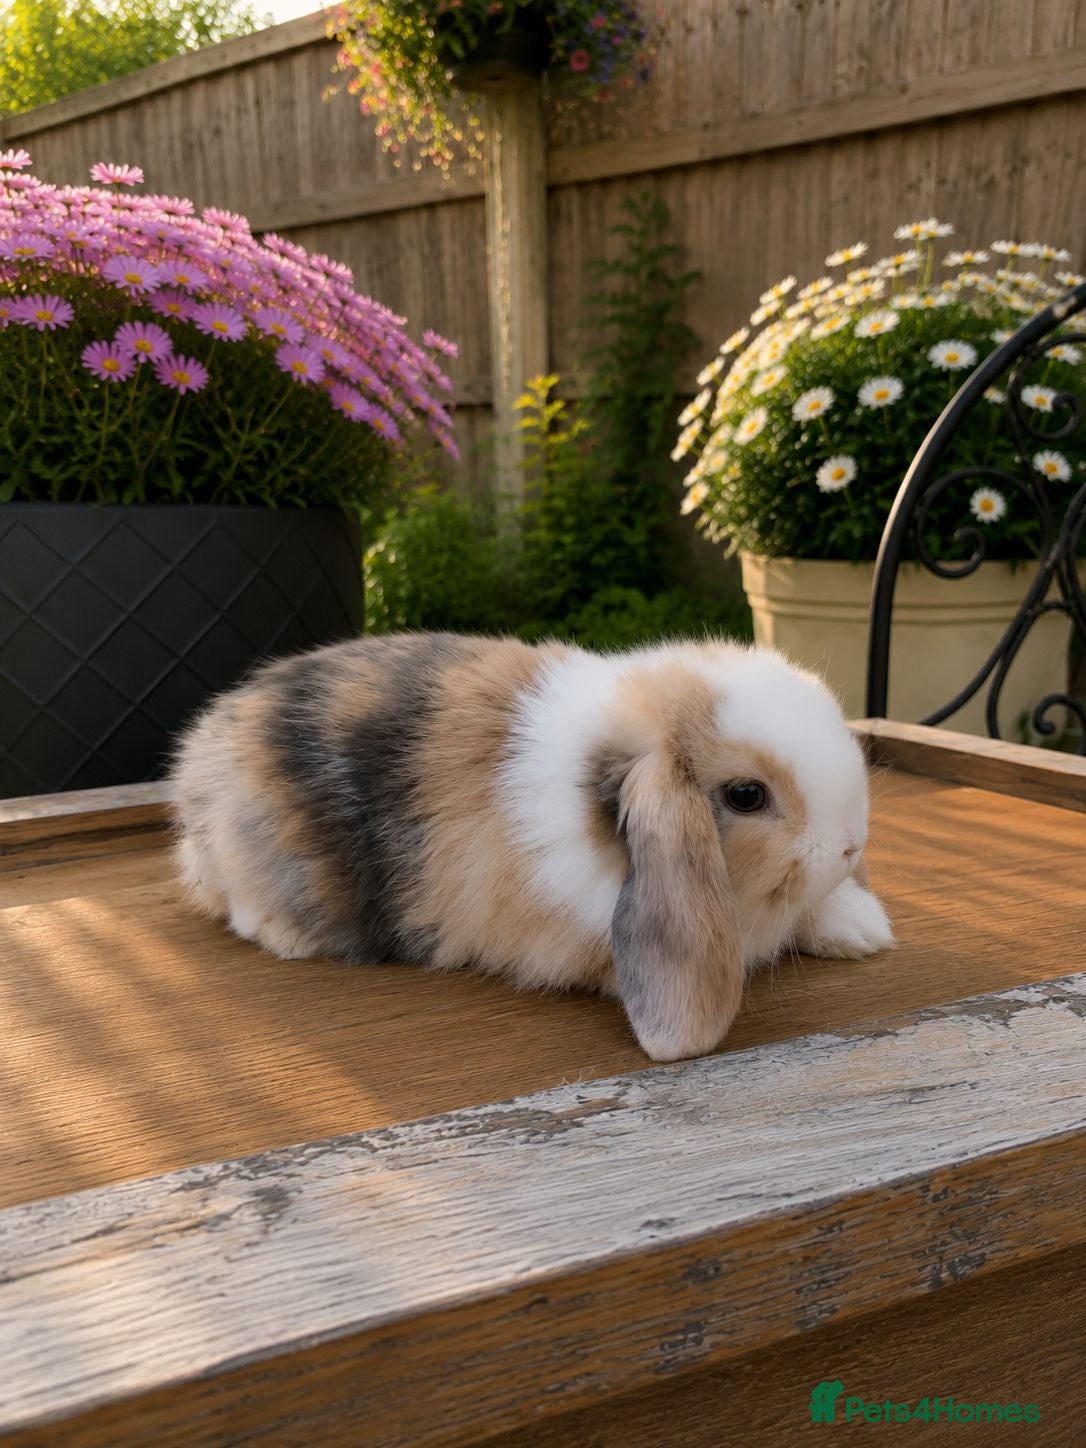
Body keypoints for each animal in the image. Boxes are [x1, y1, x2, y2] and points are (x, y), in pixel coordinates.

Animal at [169, 632, 893, 1062]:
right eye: (746, 795)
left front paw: (863, 931)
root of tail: (196, 767)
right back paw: (285, 936)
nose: (851, 845)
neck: (592, 793)